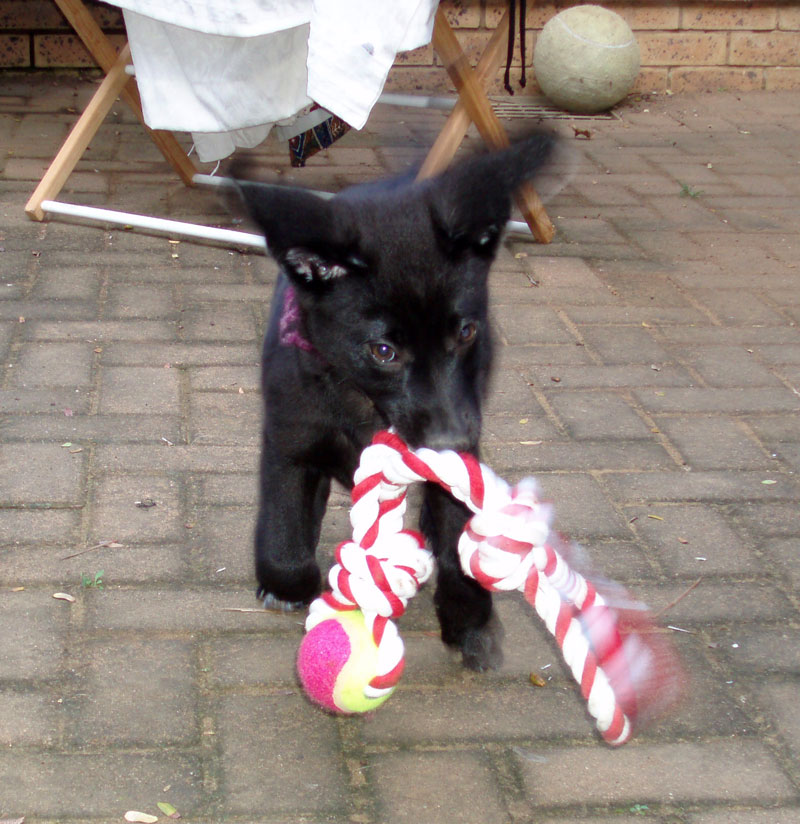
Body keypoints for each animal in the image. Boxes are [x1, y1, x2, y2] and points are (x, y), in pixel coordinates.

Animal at [231, 133, 554, 671]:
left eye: (465, 332)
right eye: (384, 351)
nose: (453, 441)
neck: (363, 402)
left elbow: (457, 538)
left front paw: (469, 622)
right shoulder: (289, 439)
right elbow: (283, 523)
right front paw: (287, 584)